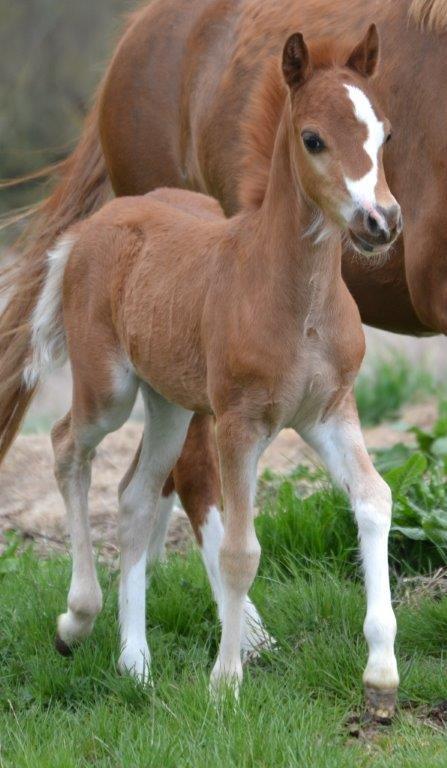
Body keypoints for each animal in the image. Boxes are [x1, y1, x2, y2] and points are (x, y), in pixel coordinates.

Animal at [0, 0, 446, 672]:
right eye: (313, 138)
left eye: (386, 134)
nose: (382, 222)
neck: (295, 297)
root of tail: (100, 223)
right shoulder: (240, 424)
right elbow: (242, 550)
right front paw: (226, 678)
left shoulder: (329, 412)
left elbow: (373, 500)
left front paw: (382, 670)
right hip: (110, 391)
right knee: (69, 445)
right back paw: (79, 618)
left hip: (170, 403)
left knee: (135, 495)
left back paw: (135, 663)